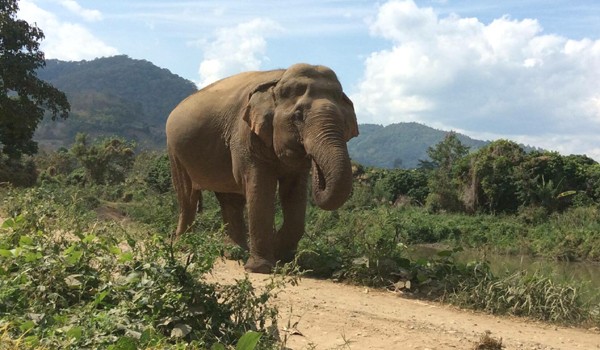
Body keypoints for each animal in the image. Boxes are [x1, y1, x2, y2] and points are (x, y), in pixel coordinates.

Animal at [166, 64, 358, 274]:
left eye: (344, 121)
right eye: (298, 116)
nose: (313, 162)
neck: (279, 80)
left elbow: (294, 193)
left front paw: (281, 255)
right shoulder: (245, 135)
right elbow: (260, 188)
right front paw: (261, 268)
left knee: (230, 200)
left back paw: (234, 252)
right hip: (175, 152)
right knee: (188, 197)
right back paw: (184, 245)